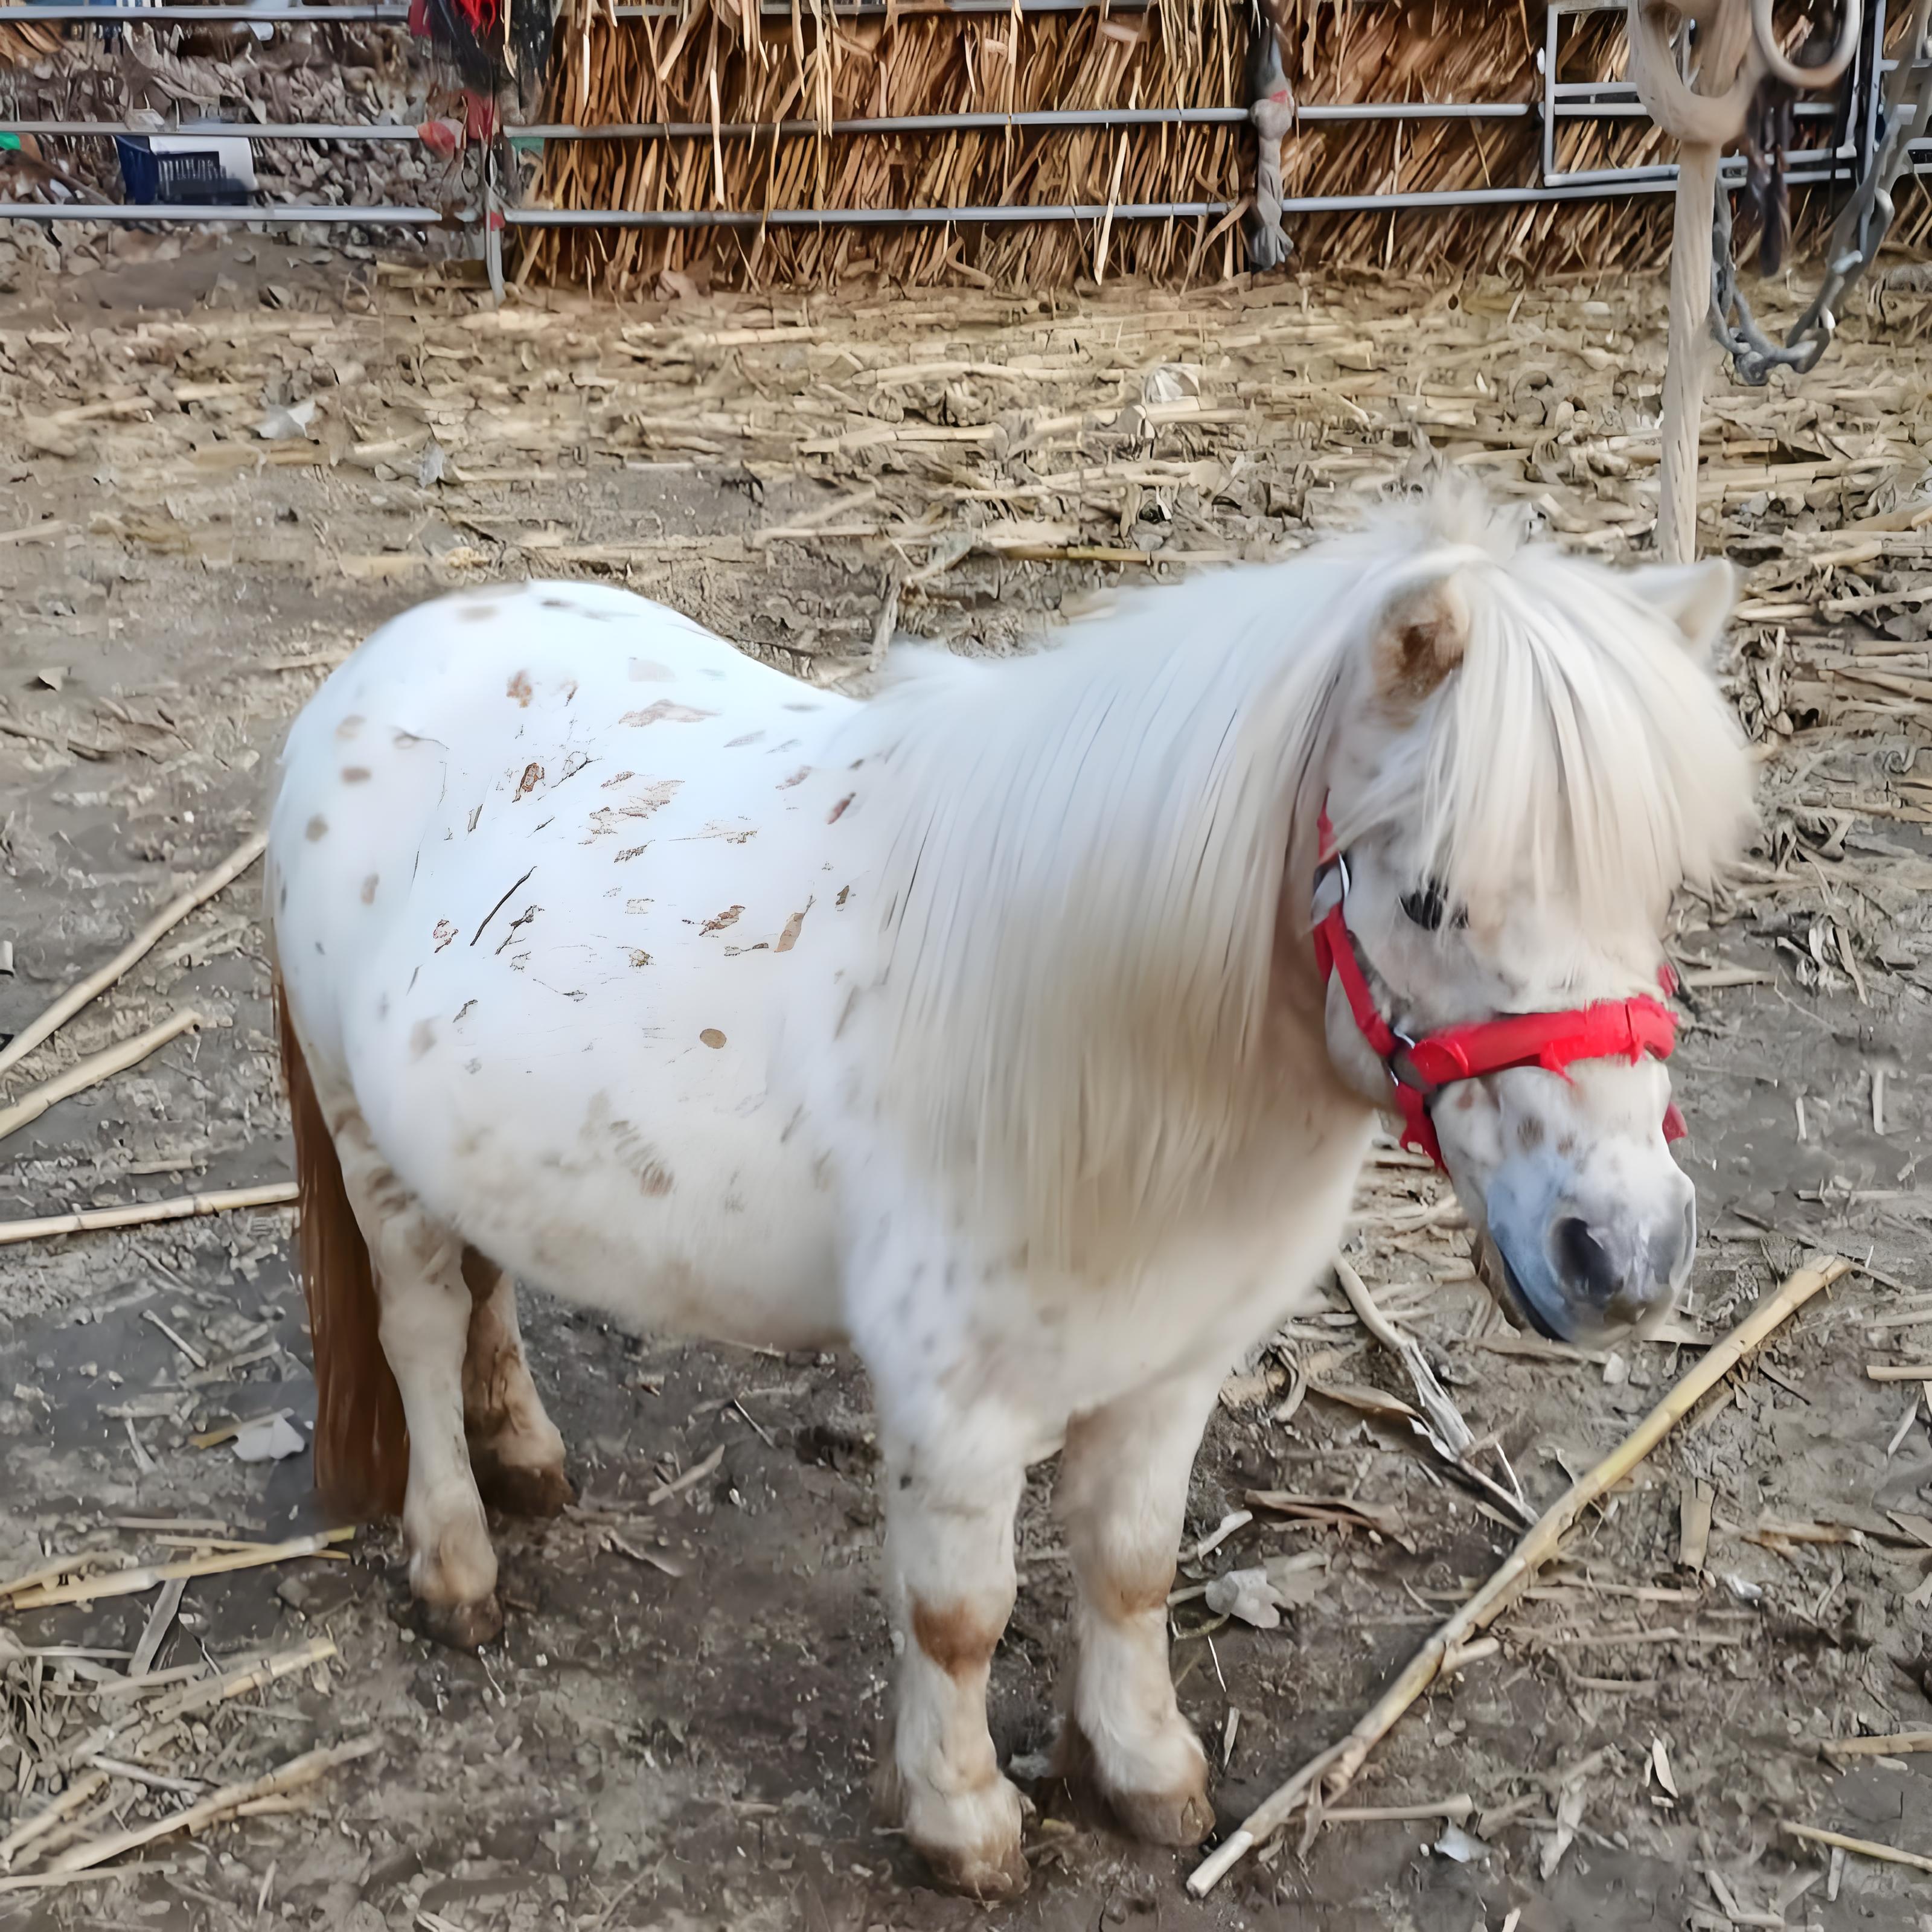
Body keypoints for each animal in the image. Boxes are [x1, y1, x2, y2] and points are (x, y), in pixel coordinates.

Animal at [264, 484, 1753, 1898]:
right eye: (1431, 898)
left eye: (1657, 894)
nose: (1625, 1254)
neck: (1086, 1032)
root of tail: (375, 667)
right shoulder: (953, 1405)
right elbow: (957, 1617)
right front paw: (961, 1816)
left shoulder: (1170, 1373)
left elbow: (1132, 1569)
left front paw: (1144, 1768)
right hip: (365, 1136)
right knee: (416, 1324)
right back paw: (457, 1561)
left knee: (486, 1283)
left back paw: (523, 1450)